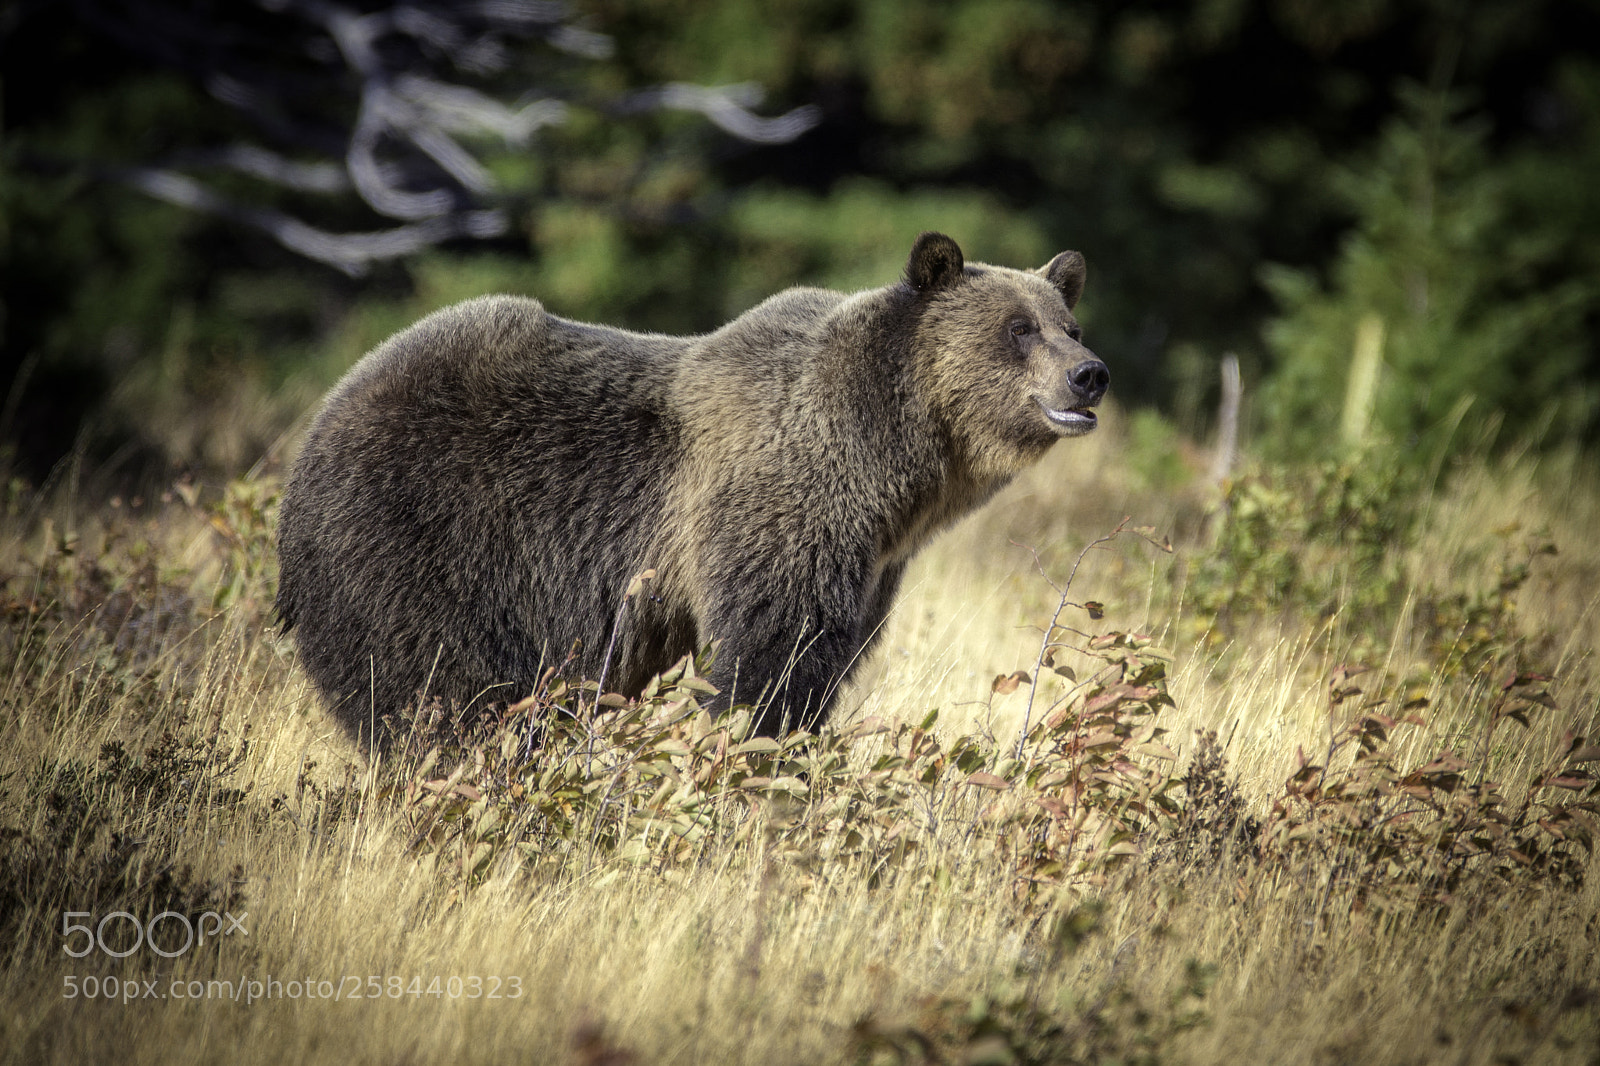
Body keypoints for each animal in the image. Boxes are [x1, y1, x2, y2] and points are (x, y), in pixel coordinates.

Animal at [274, 232, 1108, 746]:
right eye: (1017, 327)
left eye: (1066, 321)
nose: (1089, 373)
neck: (890, 469)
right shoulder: (776, 510)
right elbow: (769, 655)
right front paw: (752, 747)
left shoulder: (873, 561)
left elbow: (826, 661)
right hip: (419, 541)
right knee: (434, 694)